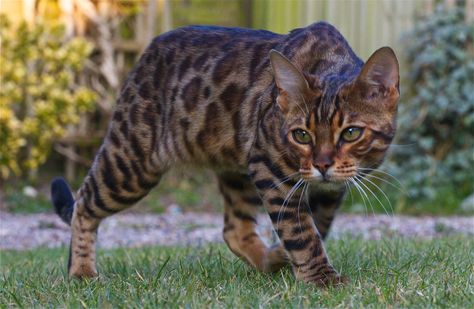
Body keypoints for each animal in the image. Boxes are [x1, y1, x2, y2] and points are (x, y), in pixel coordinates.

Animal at [51, 21, 400, 286]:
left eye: (351, 133)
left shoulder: (328, 189)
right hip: (132, 162)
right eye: (301, 135)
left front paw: (290, 258)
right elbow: (301, 230)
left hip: (236, 173)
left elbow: (318, 226)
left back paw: (271, 259)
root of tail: (146, 53)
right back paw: (81, 271)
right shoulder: (269, 168)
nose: (322, 164)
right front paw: (322, 279)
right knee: (83, 202)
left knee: (234, 230)